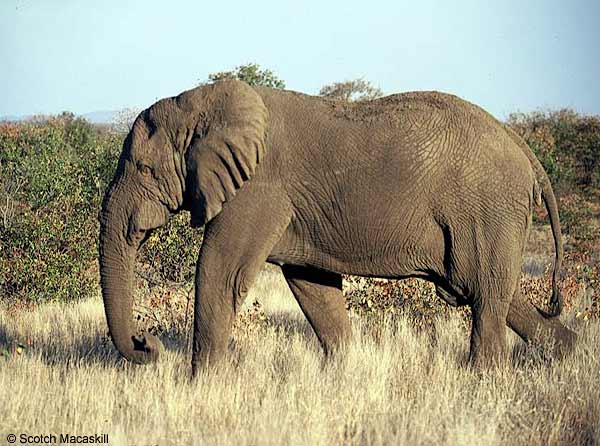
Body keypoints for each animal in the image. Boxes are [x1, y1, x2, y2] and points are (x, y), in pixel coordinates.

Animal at [98, 79, 576, 372]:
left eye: (143, 169)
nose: (147, 343)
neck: (208, 102)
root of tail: (520, 143)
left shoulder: (258, 188)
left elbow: (220, 271)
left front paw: (203, 388)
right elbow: (312, 284)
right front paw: (345, 372)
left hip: (488, 209)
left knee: (487, 297)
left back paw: (483, 379)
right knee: (494, 291)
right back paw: (571, 352)